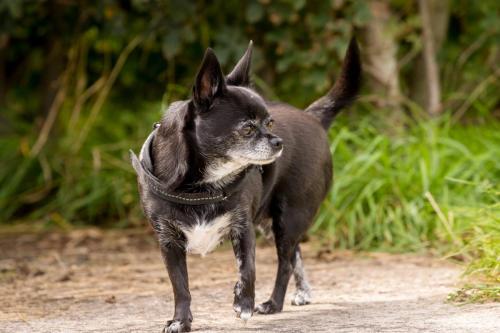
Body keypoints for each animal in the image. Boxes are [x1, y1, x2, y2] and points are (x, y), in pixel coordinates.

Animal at [131, 37, 362, 330]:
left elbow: (248, 269)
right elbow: (180, 286)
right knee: (295, 254)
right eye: (248, 128)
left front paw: (243, 303)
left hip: (289, 217)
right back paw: (302, 292)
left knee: (285, 262)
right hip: (272, 223)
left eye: (270, 122)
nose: (279, 142)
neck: (203, 185)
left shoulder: (243, 228)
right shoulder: (169, 242)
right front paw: (180, 321)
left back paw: (273, 303)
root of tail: (312, 117)